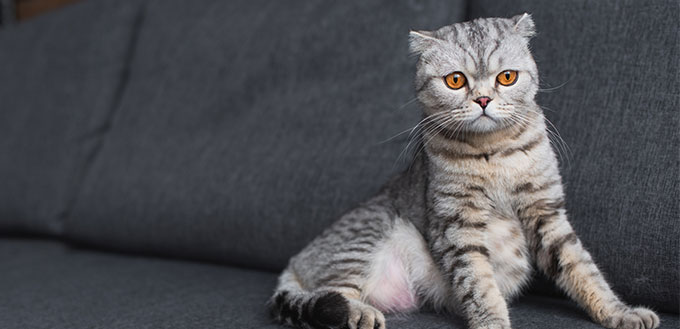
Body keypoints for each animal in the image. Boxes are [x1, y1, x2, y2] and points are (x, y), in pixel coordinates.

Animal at [270, 13, 660, 328]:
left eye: (506, 77)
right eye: (455, 80)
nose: (483, 99)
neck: (495, 153)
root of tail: (293, 261)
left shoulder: (547, 213)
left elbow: (583, 269)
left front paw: (619, 312)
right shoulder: (457, 224)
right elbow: (478, 282)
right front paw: (492, 322)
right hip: (366, 236)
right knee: (332, 293)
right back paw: (359, 313)